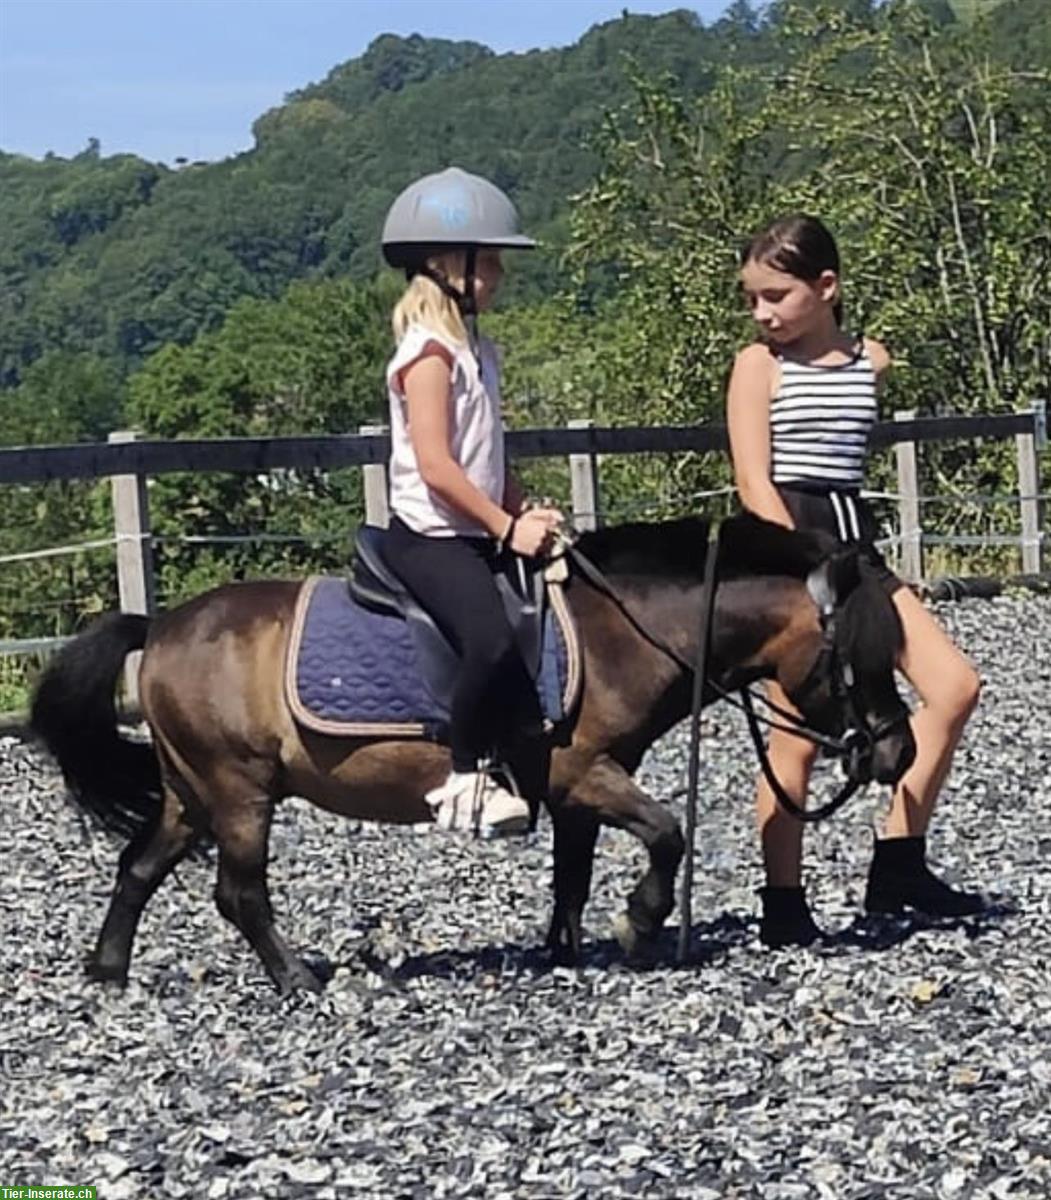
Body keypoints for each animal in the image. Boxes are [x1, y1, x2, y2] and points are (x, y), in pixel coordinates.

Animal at [26, 516, 911, 993]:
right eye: (859, 653)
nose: (897, 751)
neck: (618, 630)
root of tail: (160, 626)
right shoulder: (587, 774)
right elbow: (666, 834)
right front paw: (638, 925)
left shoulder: (576, 789)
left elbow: (572, 875)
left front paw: (565, 951)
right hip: (239, 791)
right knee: (238, 893)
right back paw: (300, 979)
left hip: (192, 793)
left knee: (139, 868)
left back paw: (108, 970)